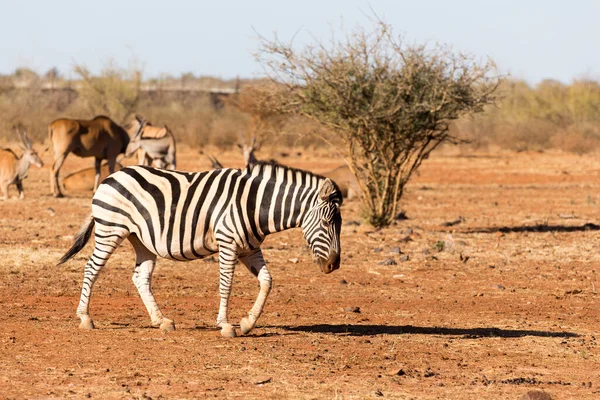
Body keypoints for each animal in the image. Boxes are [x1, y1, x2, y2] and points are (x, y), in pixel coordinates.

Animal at [58, 159, 344, 338]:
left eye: (338, 224)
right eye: (326, 222)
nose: (334, 265)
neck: (255, 204)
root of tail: (112, 176)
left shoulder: (249, 249)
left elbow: (267, 281)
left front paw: (248, 323)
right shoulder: (228, 243)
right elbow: (226, 284)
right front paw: (226, 325)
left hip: (140, 239)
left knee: (140, 278)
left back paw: (161, 321)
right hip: (111, 229)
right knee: (91, 269)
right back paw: (85, 318)